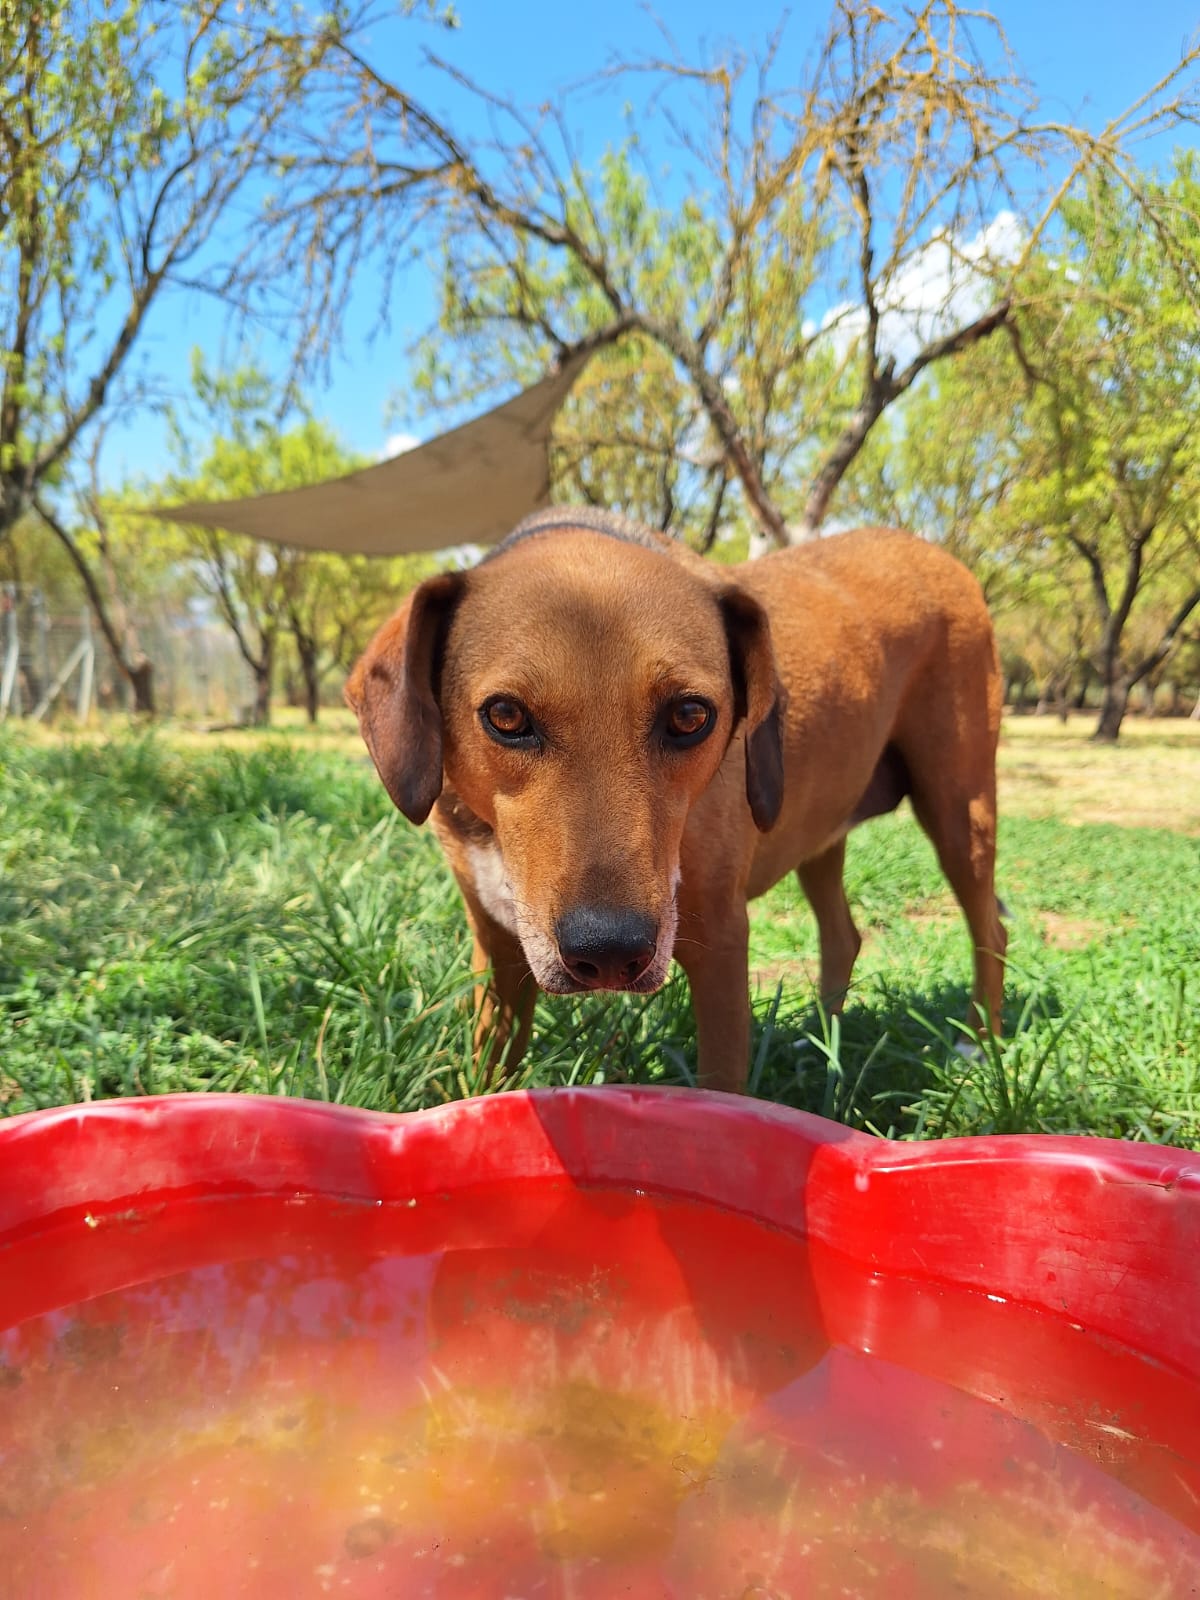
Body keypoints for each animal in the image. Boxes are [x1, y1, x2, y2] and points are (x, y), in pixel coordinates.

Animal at [346, 506, 1006, 1094]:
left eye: (690, 716)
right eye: (505, 715)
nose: (608, 952)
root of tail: (937, 554)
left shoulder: (721, 947)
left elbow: (720, 1090)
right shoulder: (498, 950)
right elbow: (488, 1073)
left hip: (959, 808)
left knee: (990, 925)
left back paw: (979, 1046)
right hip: (821, 830)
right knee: (844, 934)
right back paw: (819, 1041)